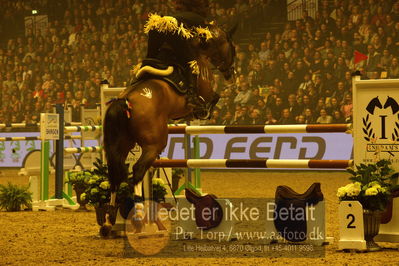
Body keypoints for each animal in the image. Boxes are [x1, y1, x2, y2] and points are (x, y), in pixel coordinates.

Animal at [101, 22, 236, 235]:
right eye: (232, 48)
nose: (231, 73)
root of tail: (125, 100)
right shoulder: (206, 91)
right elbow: (214, 98)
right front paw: (202, 111)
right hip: (153, 144)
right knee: (137, 170)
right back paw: (139, 216)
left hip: (121, 145)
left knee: (116, 175)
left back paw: (109, 221)